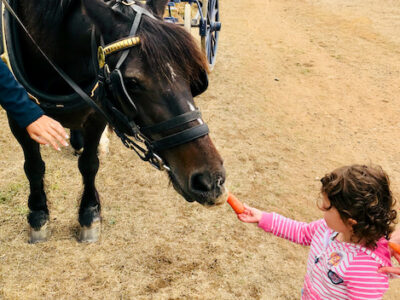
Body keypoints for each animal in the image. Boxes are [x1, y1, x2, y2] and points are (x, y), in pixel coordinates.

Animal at [3, 0, 225, 243]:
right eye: (131, 82)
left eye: (192, 75)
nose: (212, 181)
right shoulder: (19, 113)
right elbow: (34, 167)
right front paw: (38, 215)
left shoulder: (98, 110)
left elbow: (89, 164)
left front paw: (89, 213)